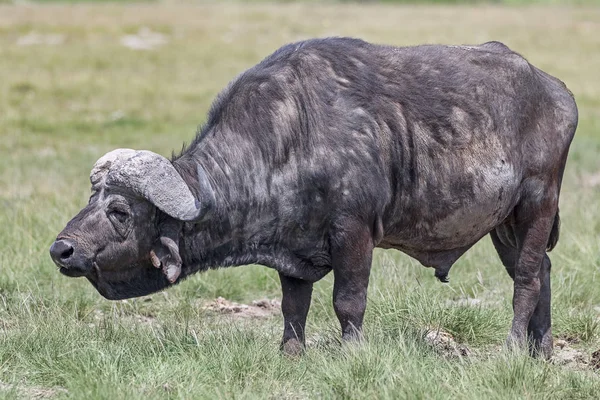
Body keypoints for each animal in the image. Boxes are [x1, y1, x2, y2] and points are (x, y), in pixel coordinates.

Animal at [50, 38, 576, 356]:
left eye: (119, 210)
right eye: (92, 197)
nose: (62, 249)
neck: (290, 138)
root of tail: (556, 91)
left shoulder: (353, 233)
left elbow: (348, 301)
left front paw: (351, 353)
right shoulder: (293, 253)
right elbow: (292, 307)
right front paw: (291, 354)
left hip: (537, 203)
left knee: (527, 278)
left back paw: (513, 347)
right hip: (503, 225)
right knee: (544, 271)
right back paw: (542, 352)